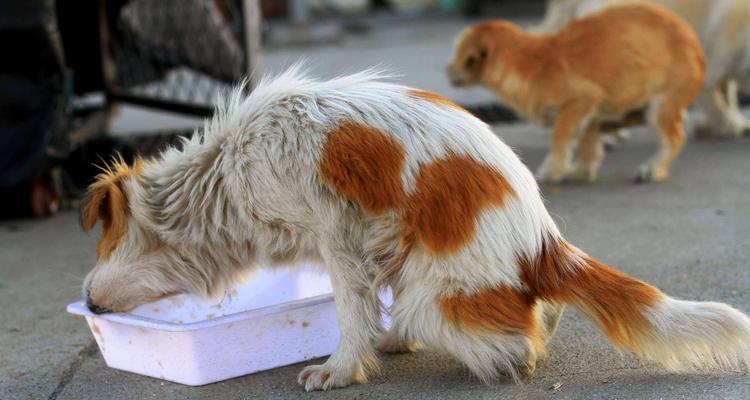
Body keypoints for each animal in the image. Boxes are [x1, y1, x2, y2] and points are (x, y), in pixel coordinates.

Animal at [79, 68, 748, 390]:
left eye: (103, 240)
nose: (86, 300)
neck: (227, 171)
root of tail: (543, 242)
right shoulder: (360, 240)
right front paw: (376, 347)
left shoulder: (337, 235)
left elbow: (351, 312)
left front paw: (341, 369)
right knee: (542, 309)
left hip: (435, 297)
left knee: (518, 333)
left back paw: (511, 356)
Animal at [450, 4, 708, 183]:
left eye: (459, 55)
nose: (447, 70)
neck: (531, 64)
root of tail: (696, 45)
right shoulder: (591, 113)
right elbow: (588, 144)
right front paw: (582, 171)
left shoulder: (578, 102)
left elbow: (560, 138)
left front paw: (552, 170)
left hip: (661, 108)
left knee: (675, 139)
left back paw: (653, 169)